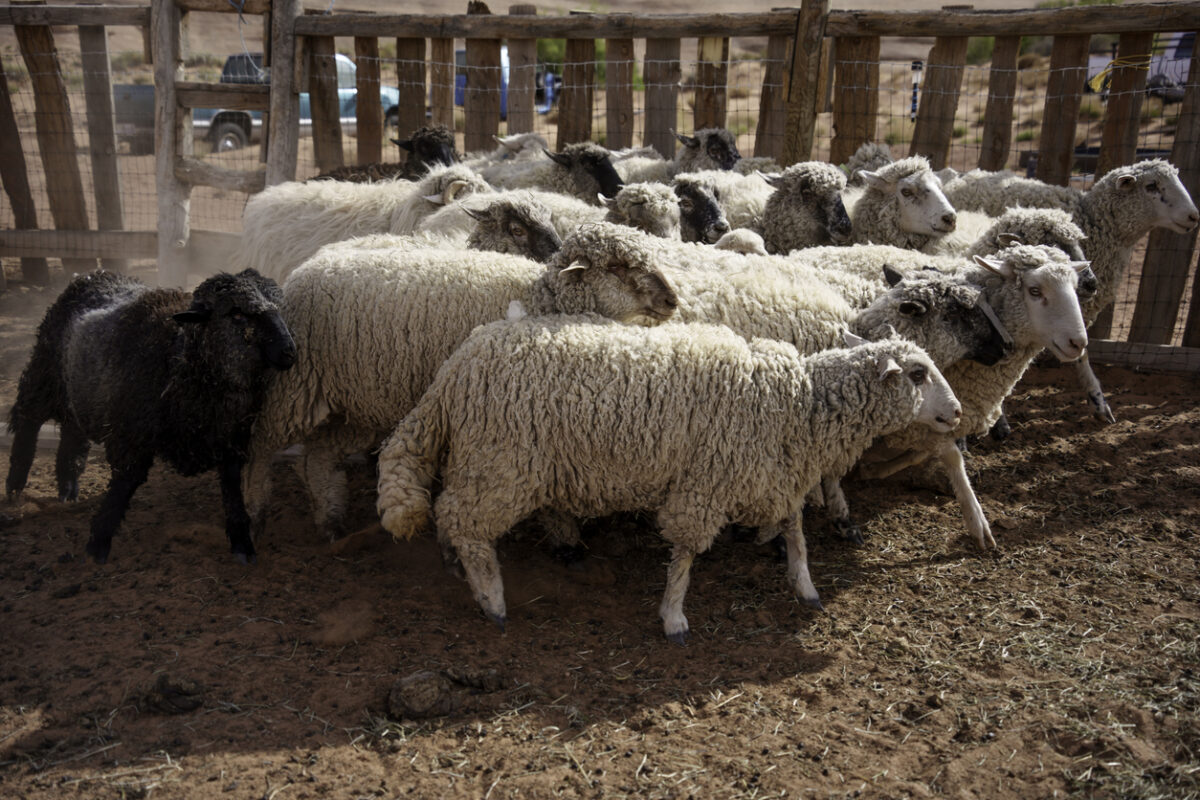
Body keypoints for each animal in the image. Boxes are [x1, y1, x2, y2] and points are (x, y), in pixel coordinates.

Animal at [5, 268, 296, 563]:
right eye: (237, 314)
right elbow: (124, 484)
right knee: (28, 424)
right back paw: (15, 487)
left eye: (280, 308)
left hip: (78, 390)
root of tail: (95, 274)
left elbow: (232, 488)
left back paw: (68, 486)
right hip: (43, 375)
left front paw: (242, 542)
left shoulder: (231, 440)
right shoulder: (131, 436)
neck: (181, 361)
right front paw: (98, 543)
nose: (289, 351)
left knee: (72, 433)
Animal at [379, 321, 960, 642]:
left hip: (484, 458)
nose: (956, 413)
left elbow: (794, 527)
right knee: (463, 519)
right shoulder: (706, 481)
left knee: (448, 509)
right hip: (503, 461)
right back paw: (491, 598)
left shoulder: (768, 473)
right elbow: (686, 553)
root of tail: (451, 372)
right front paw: (674, 617)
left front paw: (805, 584)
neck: (795, 405)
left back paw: (454, 563)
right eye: (917, 374)